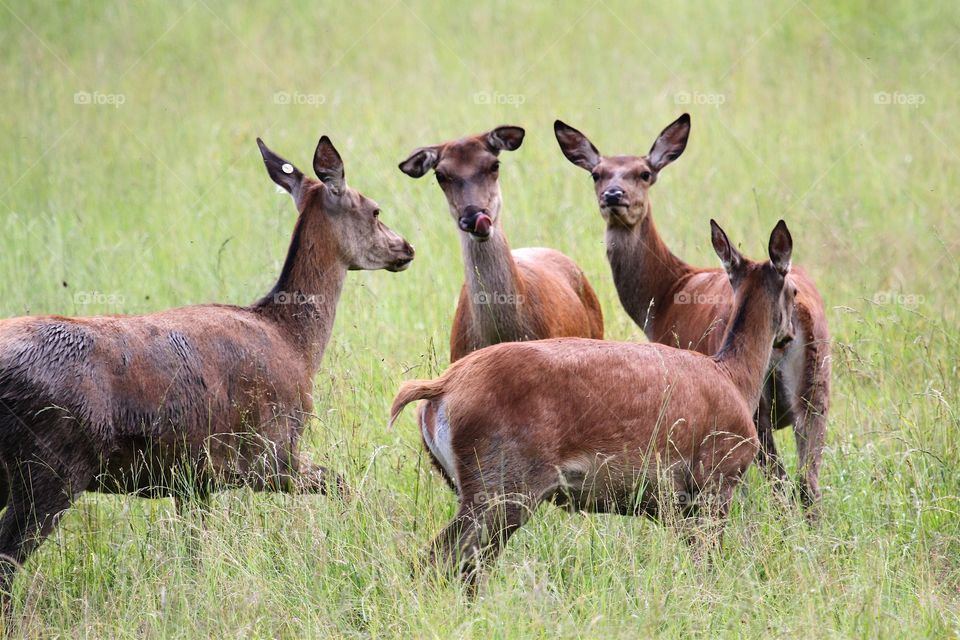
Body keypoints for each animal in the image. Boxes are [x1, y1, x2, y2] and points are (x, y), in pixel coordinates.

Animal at [0, 135, 414, 612]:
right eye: (375, 209)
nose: (406, 248)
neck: (295, 344)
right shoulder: (269, 452)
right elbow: (345, 484)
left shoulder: (194, 478)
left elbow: (194, 552)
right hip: (50, 465)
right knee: (7, 560)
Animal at [390, 220, 795, 588]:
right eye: (793, 289)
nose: (789, 334)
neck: (736, 378)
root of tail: (440, 388)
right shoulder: (718, 477)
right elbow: (706, 565)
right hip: (500, 484)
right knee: (439, 561)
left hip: (474, 487)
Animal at [554, 114, 831, 513]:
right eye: (597, 174)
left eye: (644, 173)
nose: (614, 196)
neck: (665, 295)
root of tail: (806, 314)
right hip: (819, 387)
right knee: (808, 483)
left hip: (760, 405)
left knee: (779, 482)